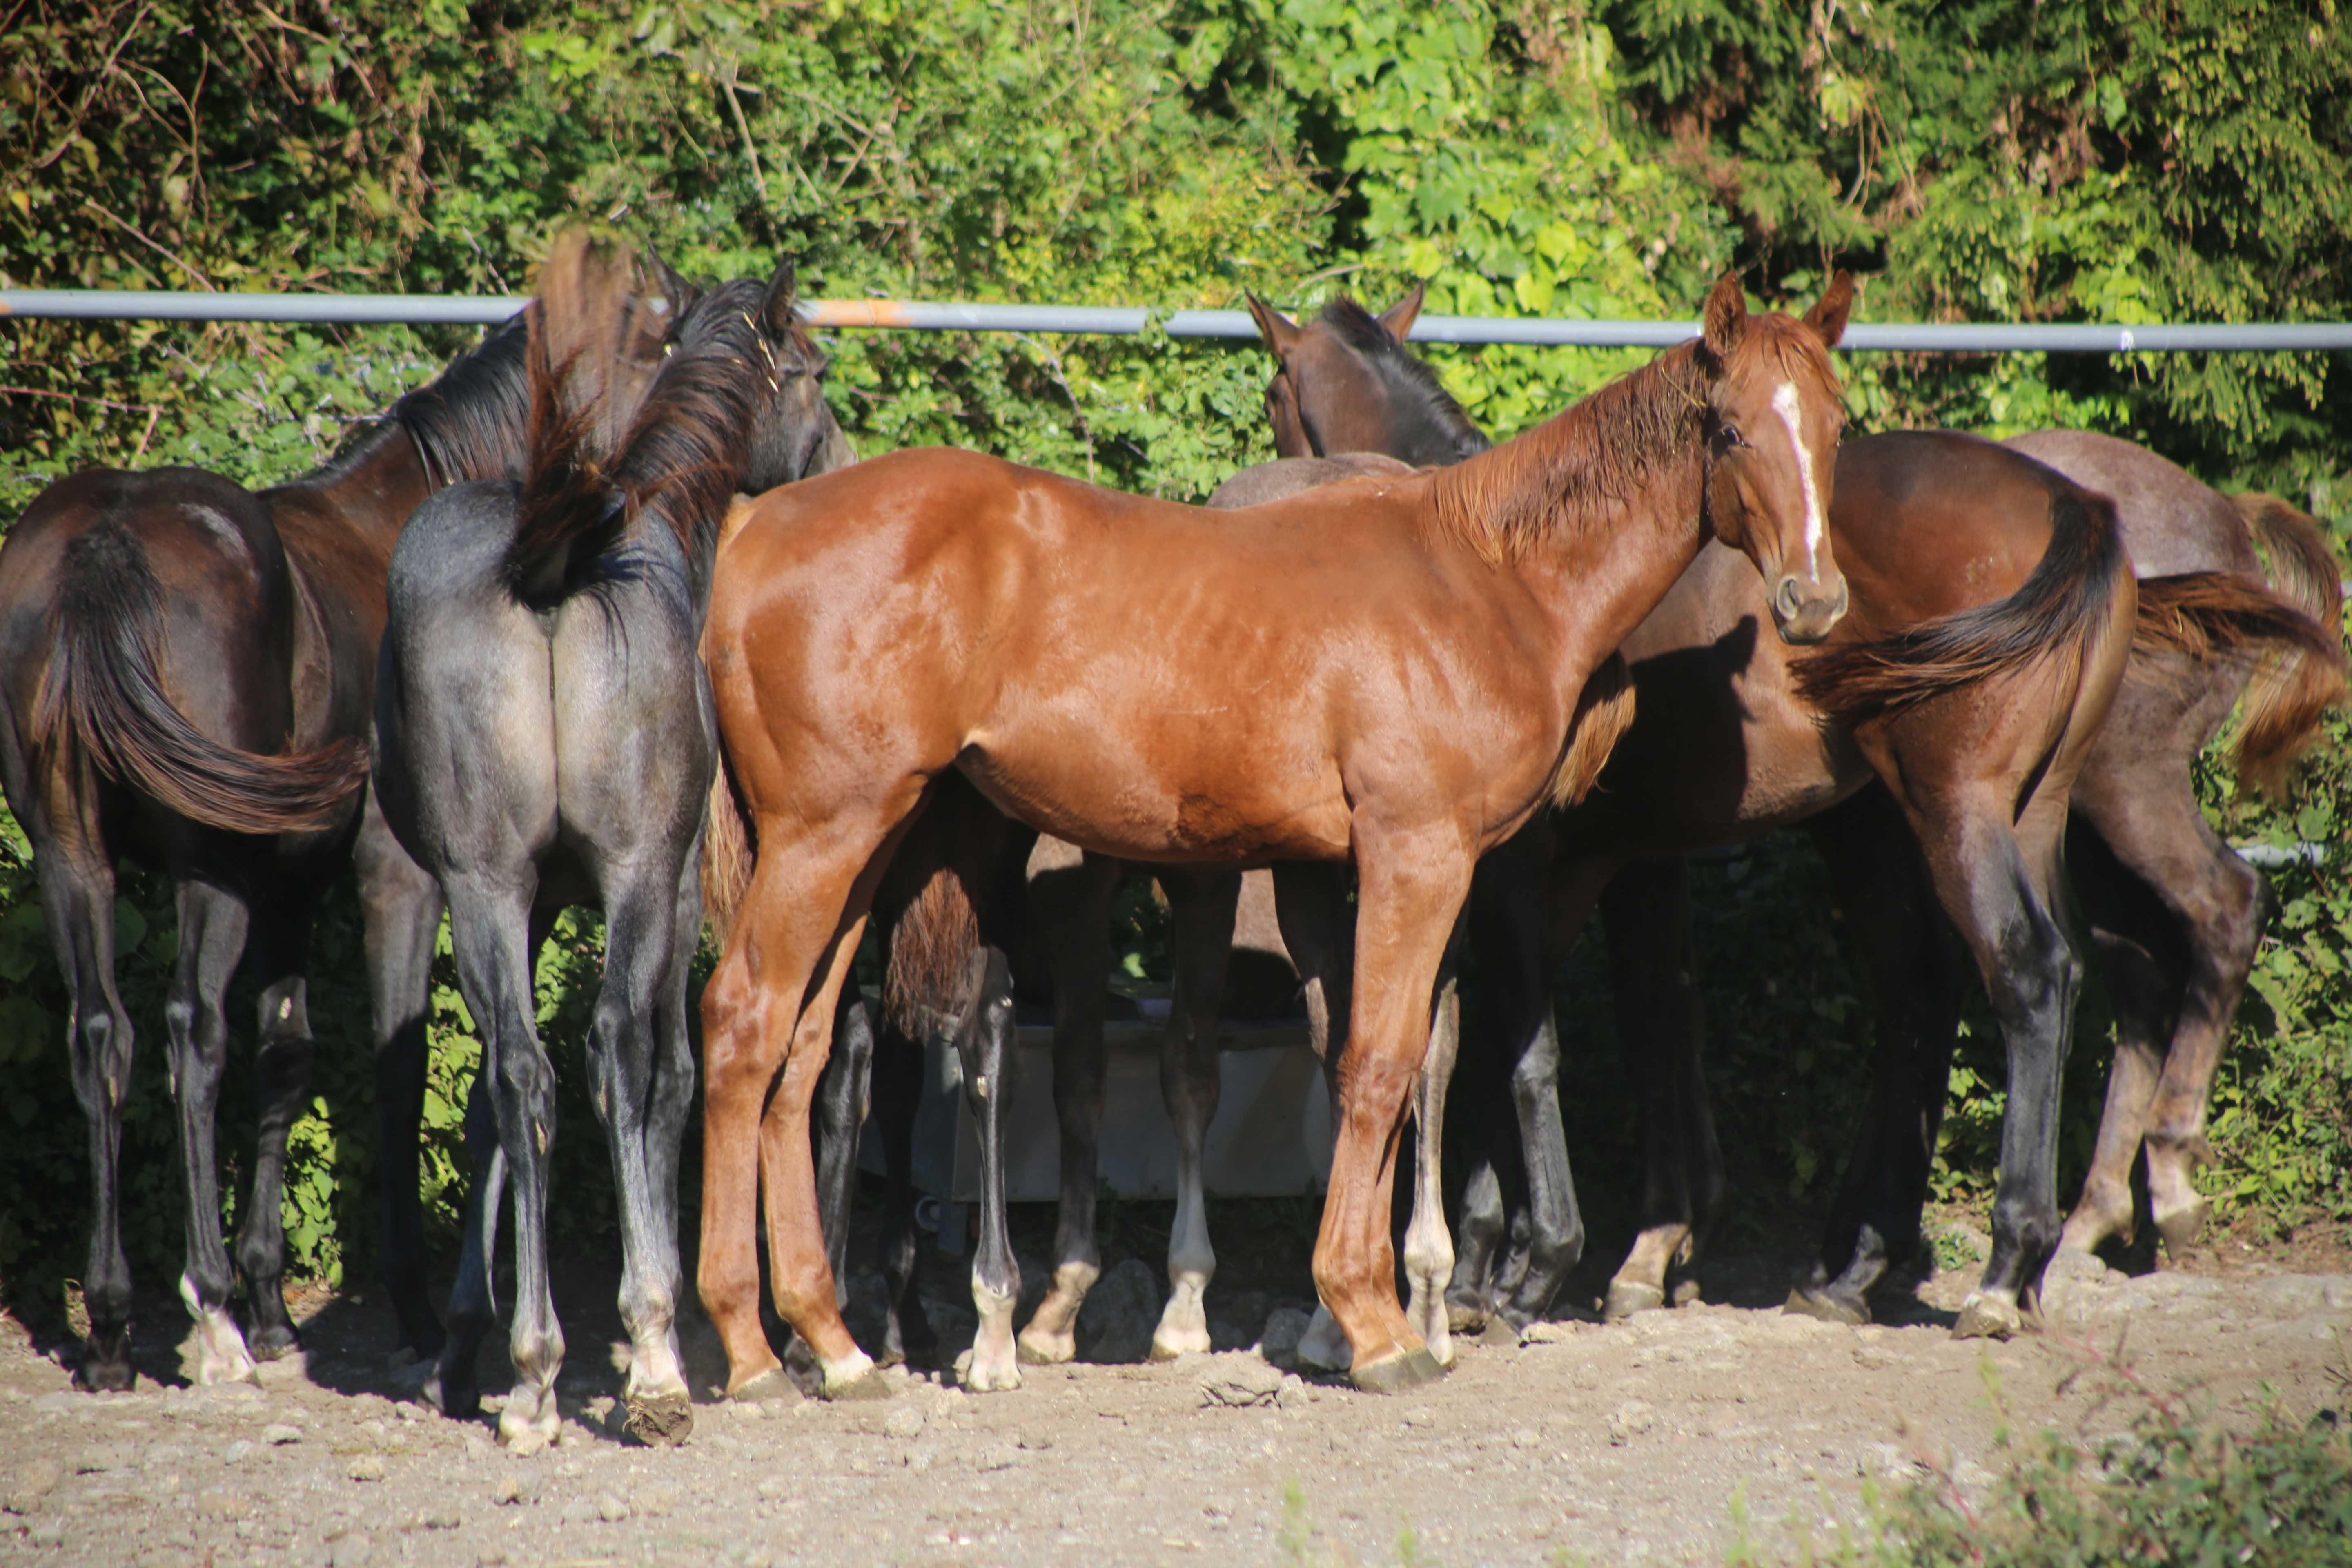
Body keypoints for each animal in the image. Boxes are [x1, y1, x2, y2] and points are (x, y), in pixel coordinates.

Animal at [0, 312, 539, 1392]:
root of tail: (104, 544)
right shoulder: (391, 878)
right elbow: (399, 1059)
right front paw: (408, 1311)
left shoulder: (291, 888)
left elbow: (285, 1056)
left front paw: (277, 1302)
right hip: (205, 869)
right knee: (188, 1032)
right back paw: (208, 1313)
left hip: (73, 853)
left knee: (103, 1034)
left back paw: (115, 1325)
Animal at [696, 272, 1853, 1401]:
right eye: (1732, 429)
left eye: (1835, 426)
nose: (1813, 599)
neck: (1485, 576)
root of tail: (755, 525)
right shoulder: (1414, 856)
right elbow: (1381, 1060)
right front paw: (1373, 1322)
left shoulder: (1388, 872)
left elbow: (1385, 1057)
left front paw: (1381, 1311)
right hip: (828, 839)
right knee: (745, 1022)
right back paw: (753, 1347)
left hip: (869, 852)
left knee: (803, 1049)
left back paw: (834, 1341)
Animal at [1251, 288, 2333, 1345]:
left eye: (1271, 398)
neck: (1500, 560)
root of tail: (2083, 507)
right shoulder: (1623, 859)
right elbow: (1618, 1012)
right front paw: (1576, 1253)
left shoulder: (1530, 862)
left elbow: (1528, 1033)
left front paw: (1534, 1265)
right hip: (2018, 814)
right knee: (2010, 981)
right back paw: (1896, 1265)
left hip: (1992, 805)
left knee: (2068, 957)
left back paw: (2028, 1251)